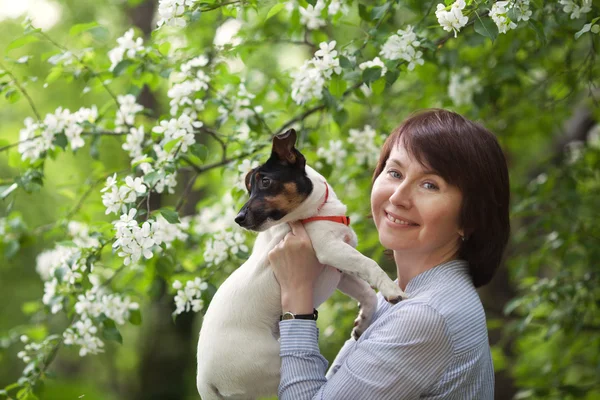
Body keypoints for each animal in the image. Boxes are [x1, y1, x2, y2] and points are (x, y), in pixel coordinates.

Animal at [197, 130, 408, 398]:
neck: (315, 212)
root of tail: (205, 380)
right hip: (273, 364)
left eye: (265, 182)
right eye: (250, 188)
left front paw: (363, 322)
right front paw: (392, 291)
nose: (238, 219)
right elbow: (369, 264)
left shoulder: (338, 271)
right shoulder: (330, 250)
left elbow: (367, 293)